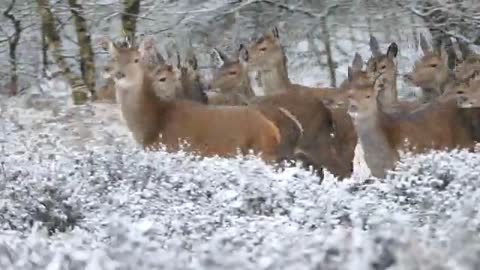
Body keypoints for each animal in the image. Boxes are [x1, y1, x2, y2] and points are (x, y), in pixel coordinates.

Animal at [105, 37, 284, 162]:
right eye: (113, 58)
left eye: (136, 59)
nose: (117, 73)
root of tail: (273, 131)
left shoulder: (174, 147)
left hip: (262, 153)